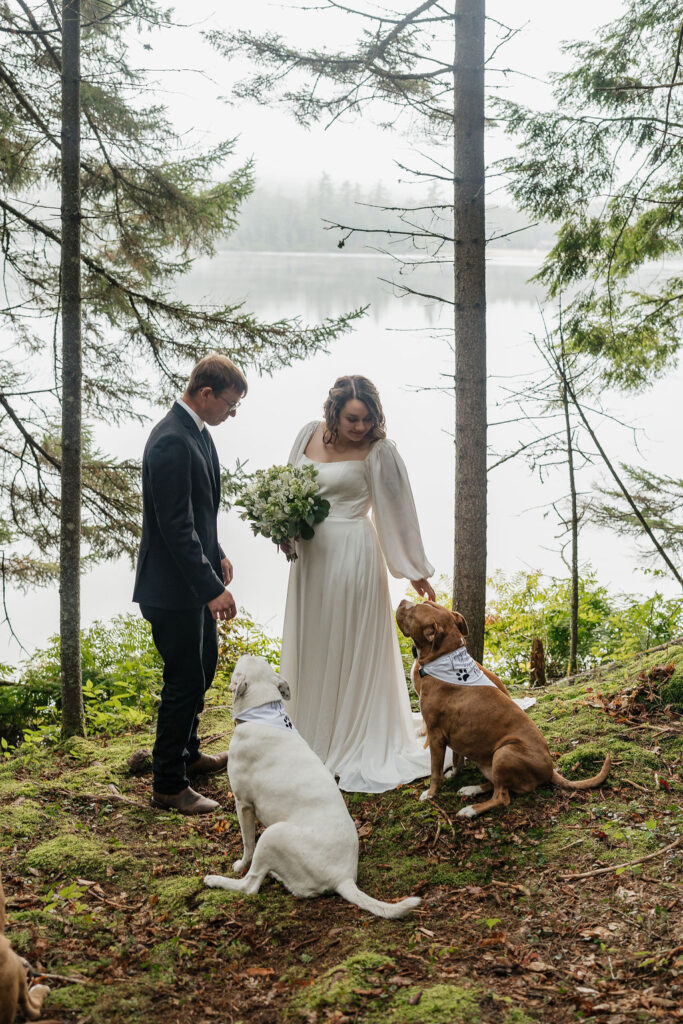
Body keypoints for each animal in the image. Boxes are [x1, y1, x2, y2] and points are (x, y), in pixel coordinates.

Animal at [201, 655, 421, 921]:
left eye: (243, 664)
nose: (244, 653)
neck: (263, 712)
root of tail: (343, 878)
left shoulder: (243, 804)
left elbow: (247, 844)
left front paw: (240, 864)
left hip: (274, 833)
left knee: (250, 885)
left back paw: (216, 880)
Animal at [397, 598, 610, 815]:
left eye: (414, 610)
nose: (402, 601)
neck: (444, 657)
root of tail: (550, 769)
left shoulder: (435, 735)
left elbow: (435, 771)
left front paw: (431, 793)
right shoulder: (455, 733)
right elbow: (457, 759)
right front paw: (454, 774)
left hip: (504, 753)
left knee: (502, 797)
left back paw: (471, 809)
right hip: (490, 760)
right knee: (496, 784)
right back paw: (472, 789)